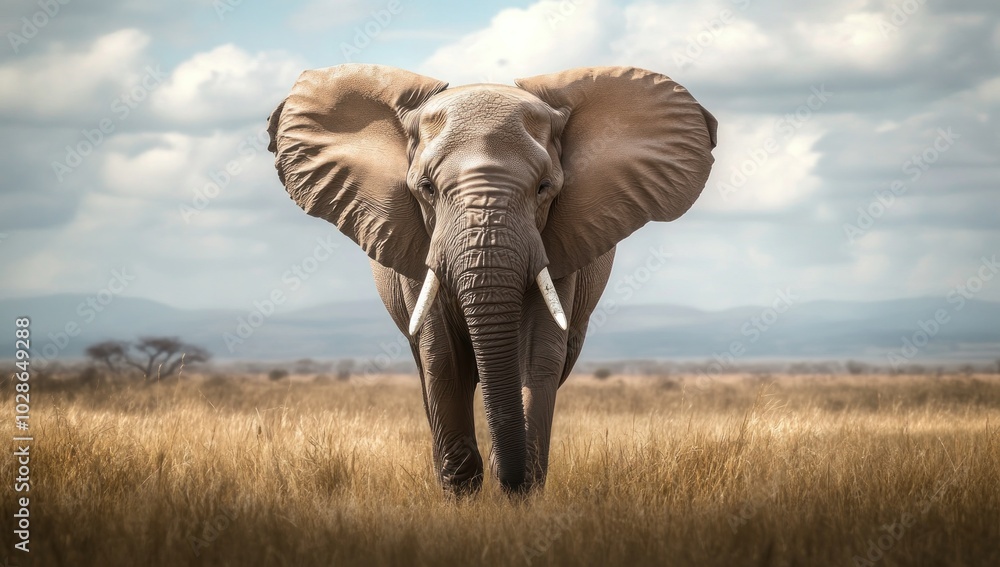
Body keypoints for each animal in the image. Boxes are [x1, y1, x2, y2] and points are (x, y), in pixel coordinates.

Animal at [266, 64, 717, 495]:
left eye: (544, 188)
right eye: (427, 189)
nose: (509, 482)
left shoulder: (559, 247)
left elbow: (537, 355)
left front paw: (519, 494)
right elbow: (443, 357)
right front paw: (462, 495)